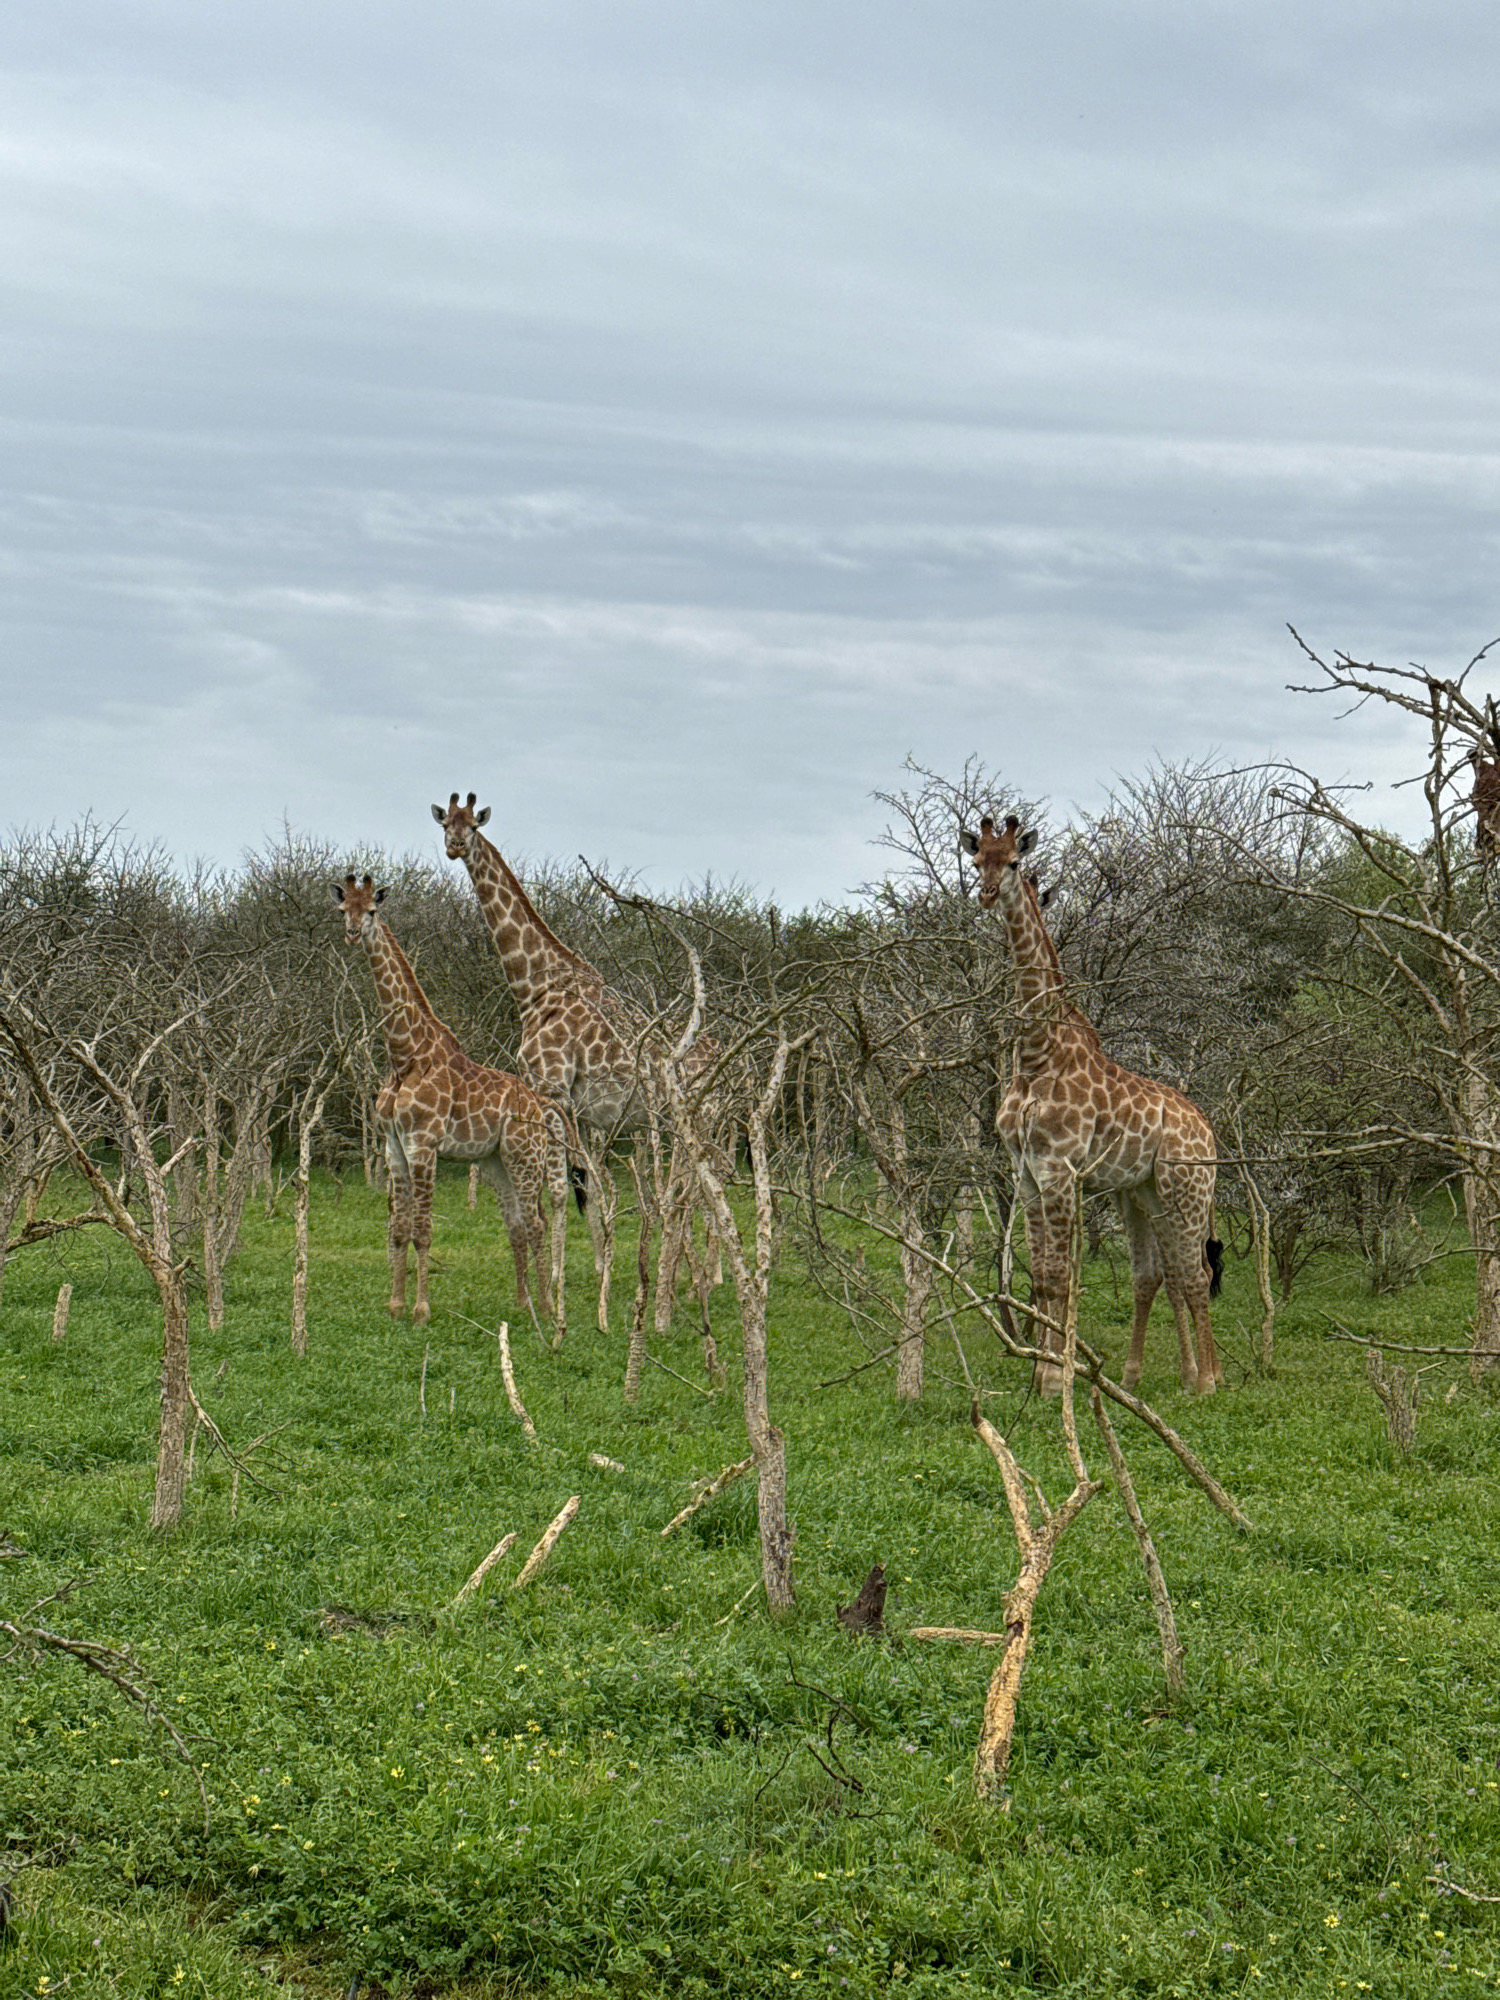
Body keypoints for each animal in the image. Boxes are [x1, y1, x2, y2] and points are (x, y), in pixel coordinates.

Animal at [334, 873, 570, 1336]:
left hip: (525, 1154)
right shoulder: (394, 1147)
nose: (352, 934)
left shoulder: (423, 1145)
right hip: (496, 1161)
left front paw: (421, 1311)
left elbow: (422, 1229)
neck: (404, 1055)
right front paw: (395, 1305)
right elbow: (398, 1228)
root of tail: (540, 1106)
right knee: (517, 1225)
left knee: (537, 1222)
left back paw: (548, 1308)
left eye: (371, 909)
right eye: (341, 909)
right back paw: (524, 1303)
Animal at [959, 816, 1224, 1395]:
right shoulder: (1026, 1171)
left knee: (1195, 1273)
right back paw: (1159, 1375)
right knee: (1162, 1273)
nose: (986, 894)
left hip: (1187, 1186)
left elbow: (1060, 1277)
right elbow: (1040, 1276)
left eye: (1014, 861)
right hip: (1145, 1192)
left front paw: (1055, 1379)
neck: (1037, 1052)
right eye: (976, 861)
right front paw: (1039, 1373)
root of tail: (1209, 1130)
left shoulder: (1060, 1168)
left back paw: (1208, 1382)